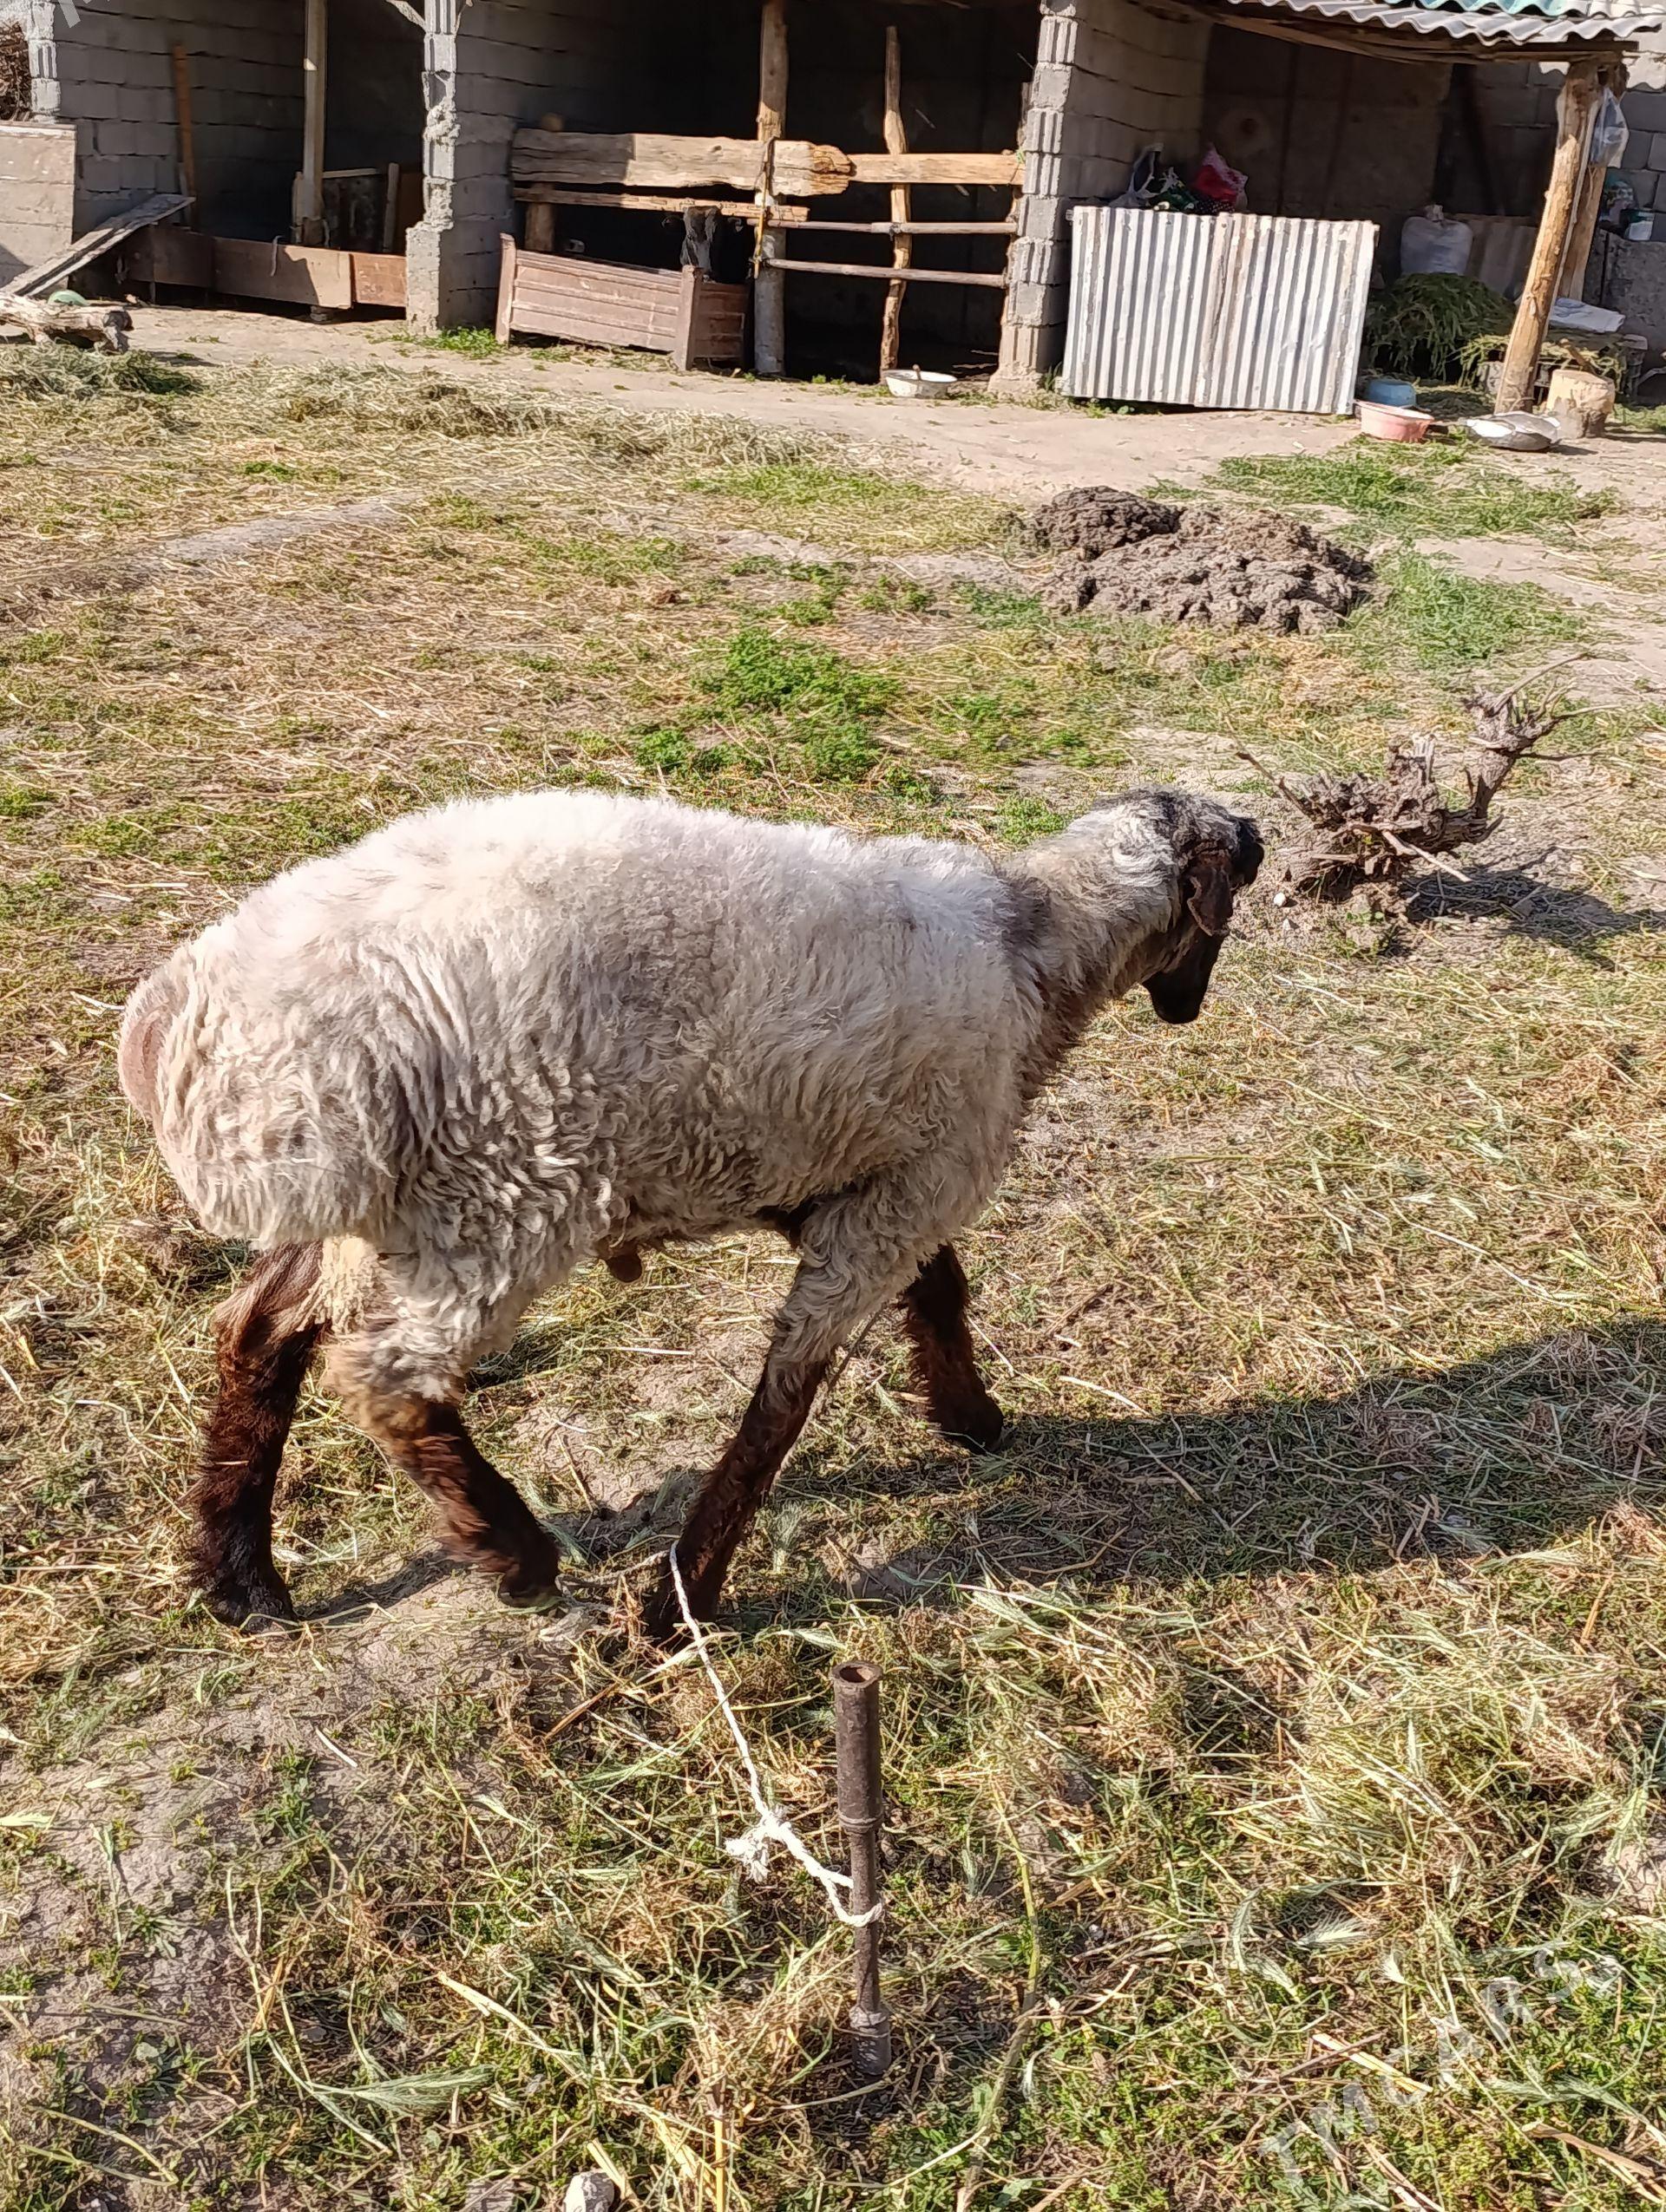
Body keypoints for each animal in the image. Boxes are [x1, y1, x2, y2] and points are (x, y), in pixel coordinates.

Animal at [119, 785, 1262, 1640]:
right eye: (1244, 886)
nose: (1188, 1010)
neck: (1037, 946)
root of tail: (190, 1016)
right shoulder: (900, 1196)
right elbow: (784, 1401)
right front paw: (684, 1600)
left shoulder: (833, 1182)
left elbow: (939, 1292)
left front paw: (968, 1418)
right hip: (505, 1194)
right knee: (385, 1378)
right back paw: (514, 1556)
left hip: (387, 1208)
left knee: (258, 1329)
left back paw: (240, 1577)